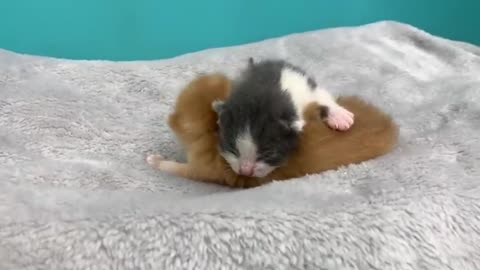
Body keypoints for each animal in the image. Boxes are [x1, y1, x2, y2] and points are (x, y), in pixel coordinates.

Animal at [213, 58, 352, 178]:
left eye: (268, 154)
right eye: (232, 148)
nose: (245, 172)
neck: (263, 94)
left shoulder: (307, 91)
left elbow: (322, 96)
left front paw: (340, 116)